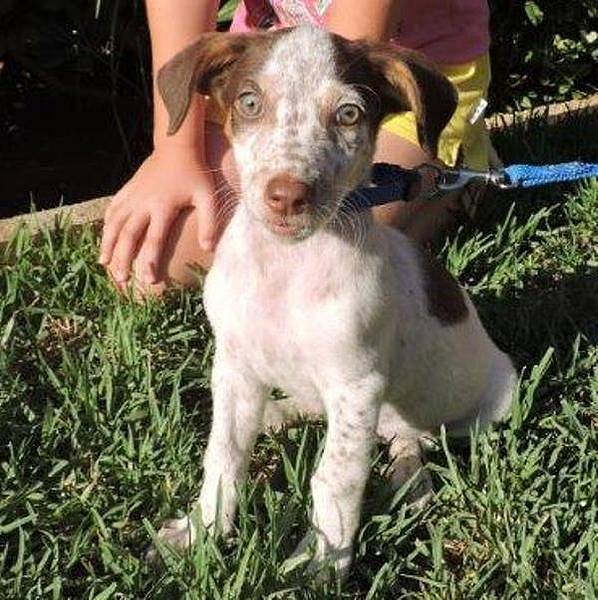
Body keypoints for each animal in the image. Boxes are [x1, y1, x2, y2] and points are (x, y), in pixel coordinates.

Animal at [150, 25, 516, 577]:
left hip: (485, 402)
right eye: (250, 102)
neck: (285, 268)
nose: (287, 196)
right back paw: (277, 415)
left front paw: (320, 564)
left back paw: (412, 485)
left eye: (348, 114)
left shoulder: (357, 385)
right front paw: (201, 532)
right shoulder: (234, 365)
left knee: (414, 442)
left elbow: (335, 479)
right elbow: (225, 456)